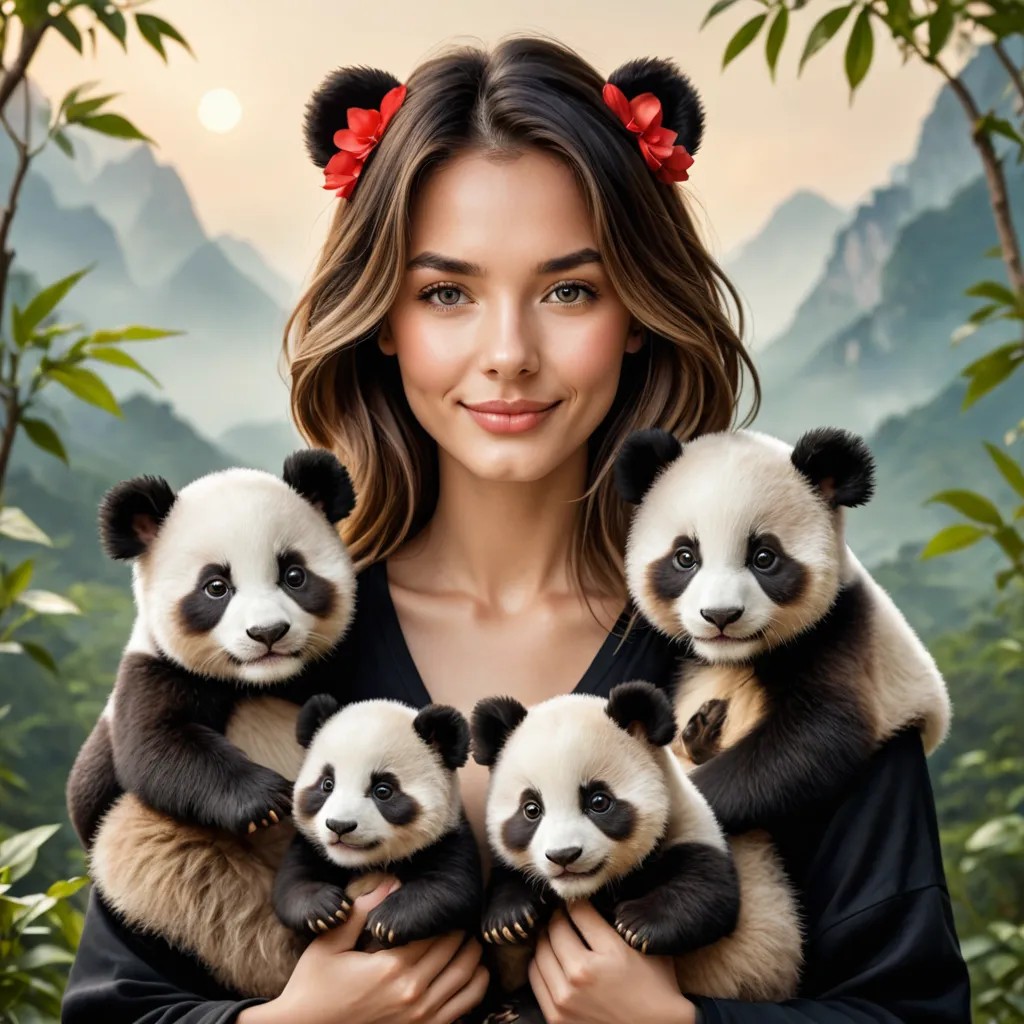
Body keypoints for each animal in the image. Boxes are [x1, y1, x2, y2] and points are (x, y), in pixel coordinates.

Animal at [66, 448, 360, 998]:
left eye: (294, 575)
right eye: (216, 587)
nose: (267, 633)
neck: (256, 682)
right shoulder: (153, 673)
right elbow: (157, 749)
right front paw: (264, 800)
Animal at [273, 694, 483, 952]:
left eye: (383, 790)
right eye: (327, 784)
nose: (339, 826)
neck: (365, 865)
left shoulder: (449, 839)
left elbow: (452, 888)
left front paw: (388, 921)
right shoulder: (309, 846)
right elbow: (290, 884)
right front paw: (324, 908)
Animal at [471, 682, 802, 1009]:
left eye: (599, 802)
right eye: (531, 809)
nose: (563, 856)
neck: (587, 890)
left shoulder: (690, 826)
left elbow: (708, 893)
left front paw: (638, 925)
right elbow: (509, 878)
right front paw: (508, 919)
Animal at [614, 426, 952, 835]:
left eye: (764, 557)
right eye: (685, 557)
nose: (720, 615)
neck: (733, 660)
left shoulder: (839, 637)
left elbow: (814, 741)